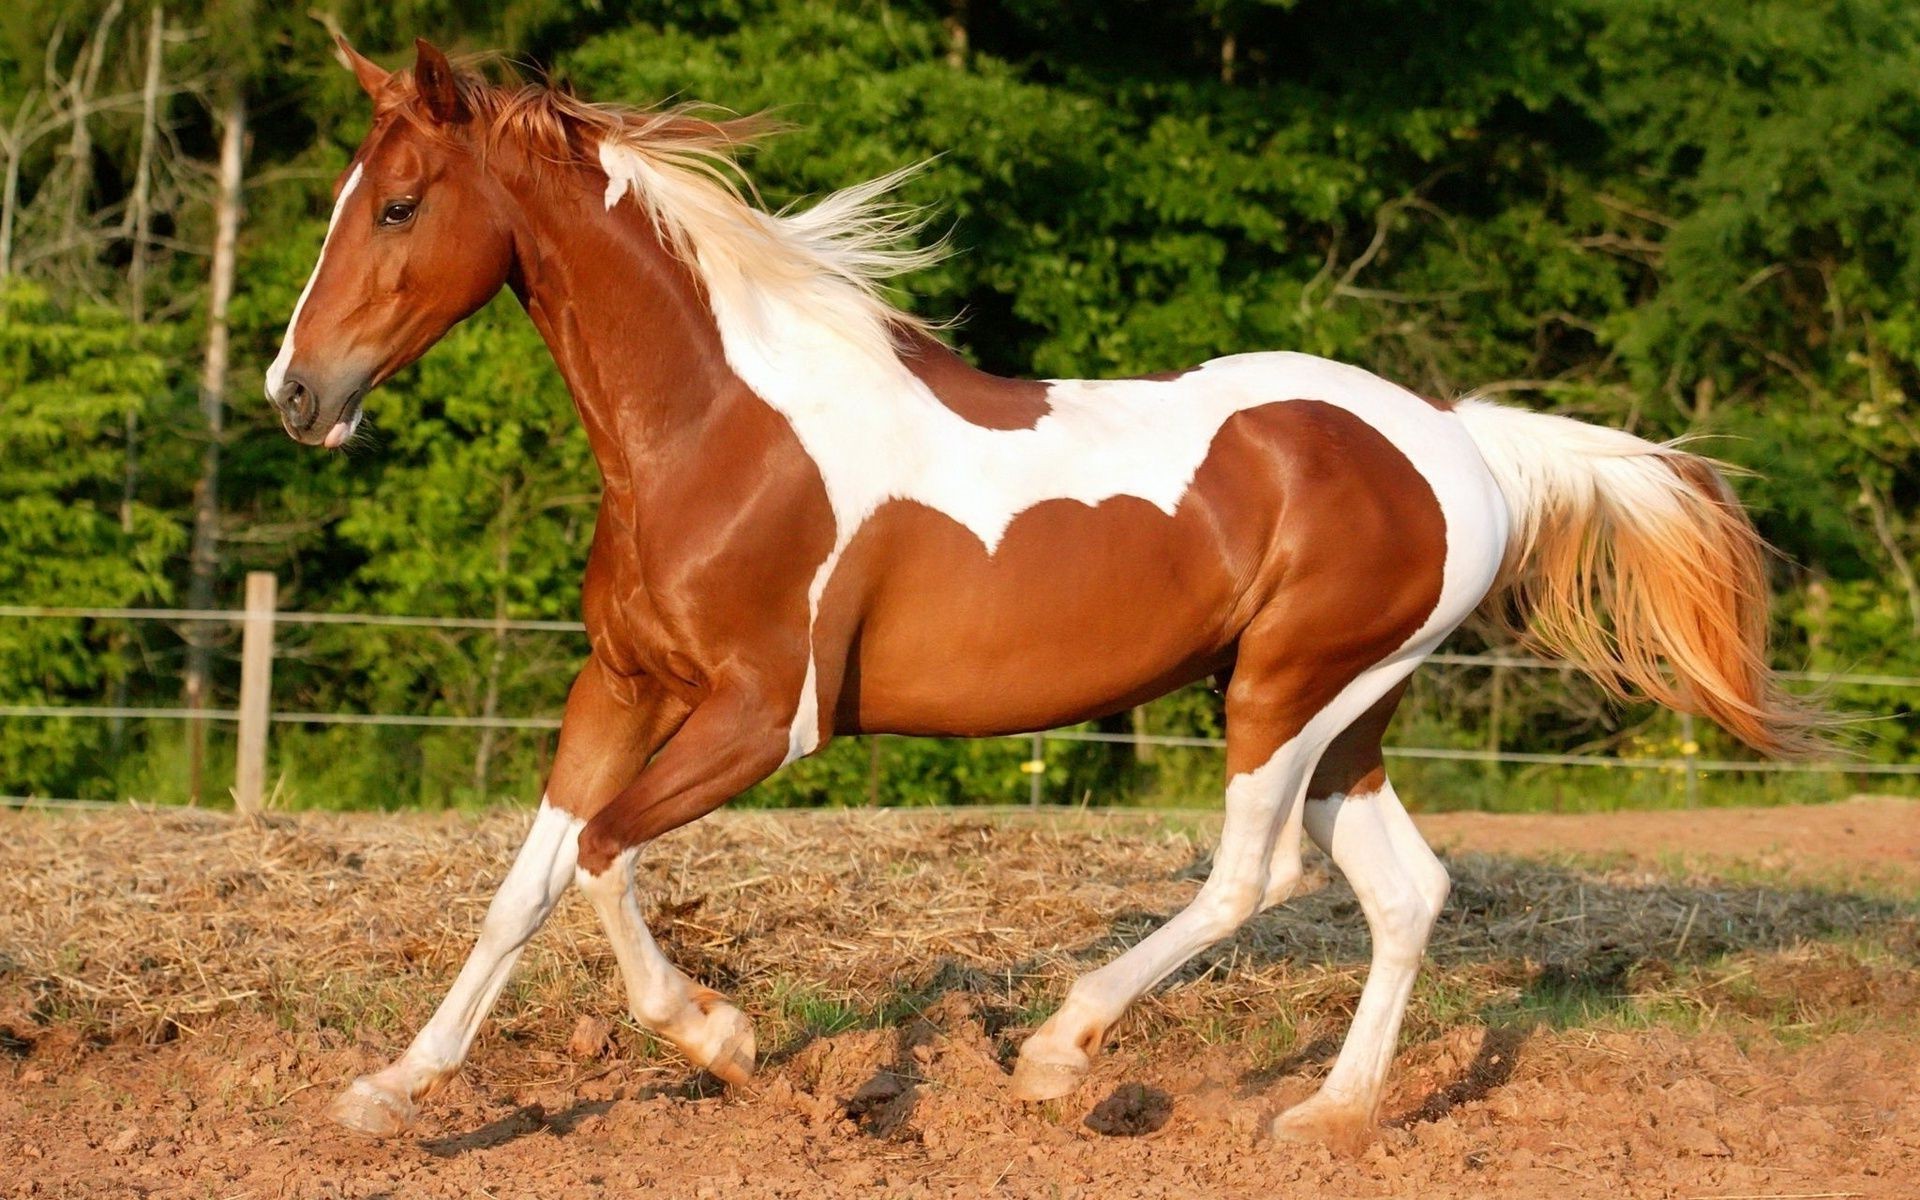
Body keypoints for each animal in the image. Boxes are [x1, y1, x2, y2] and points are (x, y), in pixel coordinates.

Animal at [266, 35, 1812, 1144]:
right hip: (1348, 714)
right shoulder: (624, 686)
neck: (719, 430)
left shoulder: (767, 715)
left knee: (1258, 875)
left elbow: (601, 854)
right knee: (1406, 891)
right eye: (346, 200)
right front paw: (391, 1093)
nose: (297, 395)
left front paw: (723, 1035)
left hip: (1286, 691)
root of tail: (1462, 439)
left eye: (399, 204)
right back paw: (1326, 1117)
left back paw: (1061, 1056)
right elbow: (524, 886)